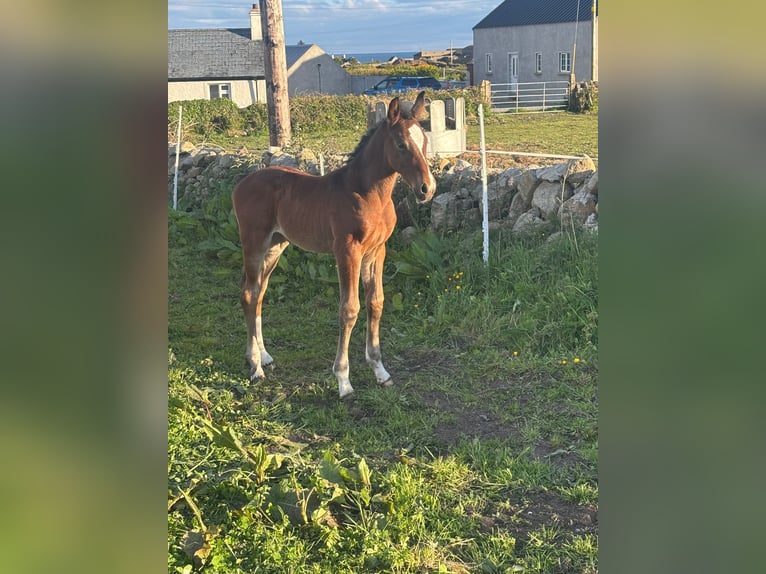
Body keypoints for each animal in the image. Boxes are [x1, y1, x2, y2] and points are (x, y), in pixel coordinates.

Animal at [232, 91, 436, 398]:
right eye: (401, 144)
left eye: (424, 141)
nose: (427, 189)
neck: (367, 194)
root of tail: (241, 183)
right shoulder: (347, 251)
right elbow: (349, 309)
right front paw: (343, 380)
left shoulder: (377, 251)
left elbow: (376, 302)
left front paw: (380, 371)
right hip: (254, 242)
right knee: (248, 293)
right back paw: (255, 366)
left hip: (276, 246)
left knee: (259, 292)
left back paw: (264, 355)